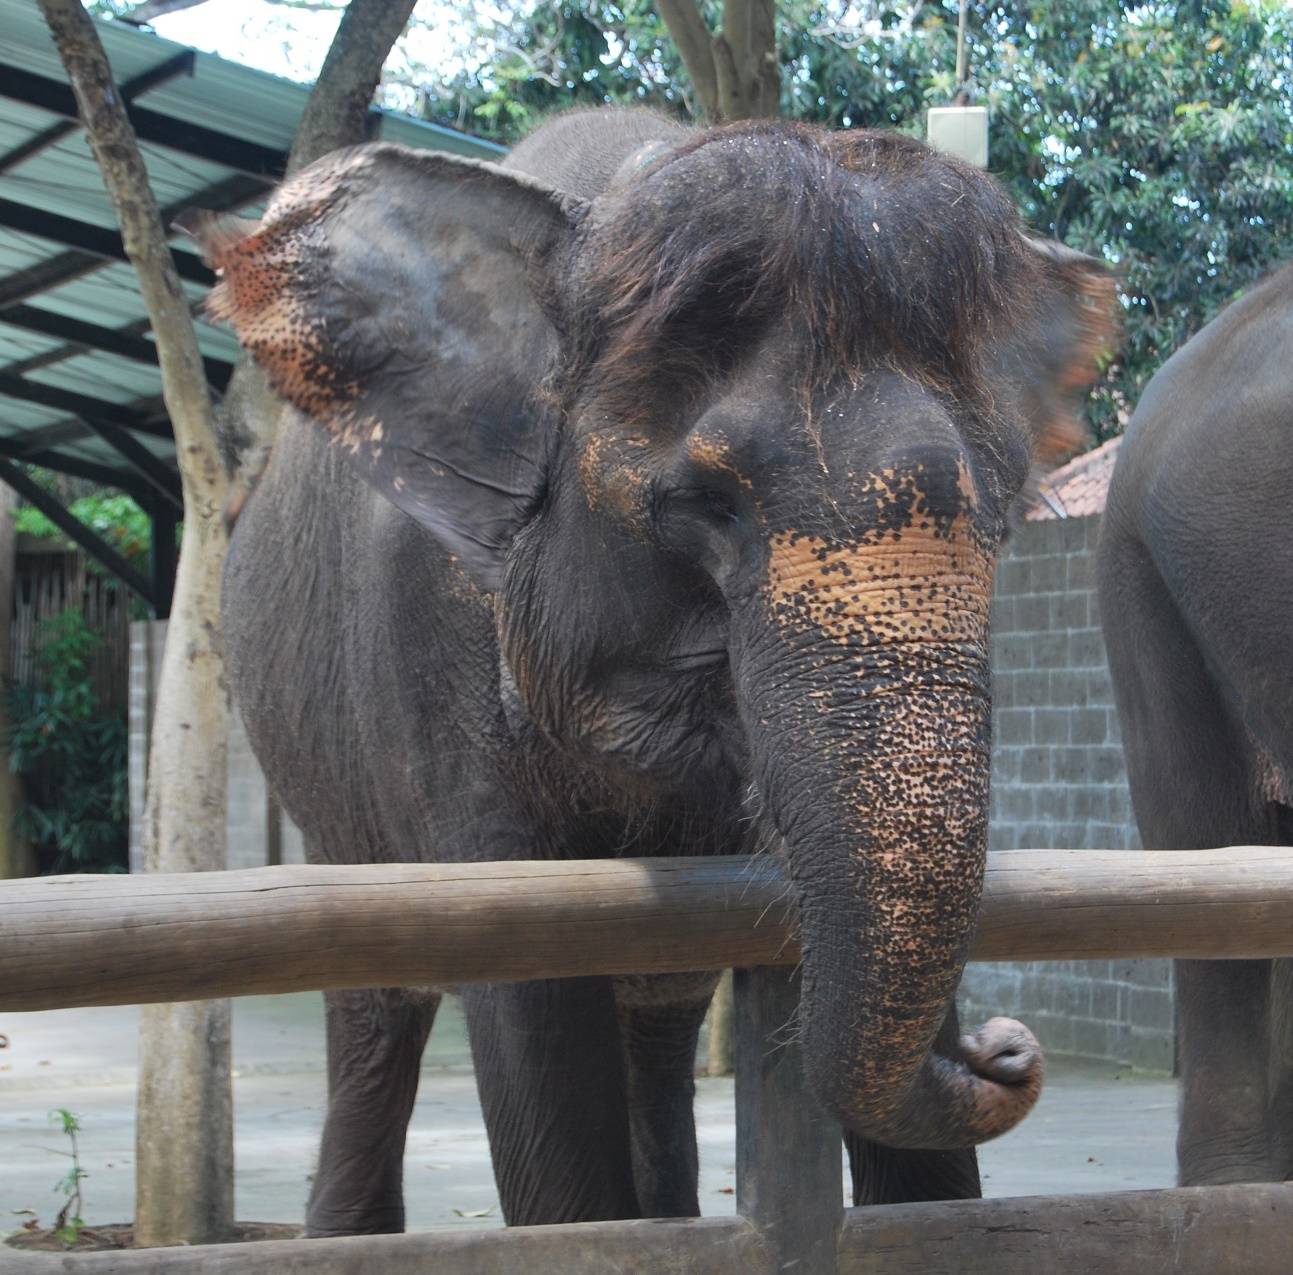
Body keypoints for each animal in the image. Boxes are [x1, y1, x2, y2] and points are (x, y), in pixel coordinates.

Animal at [201, 106, 1111, 1231]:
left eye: (1004, 513)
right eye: (700, 504)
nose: (1001, 1046)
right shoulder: (432, 661)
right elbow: (529, 1000)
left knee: (656, 1019)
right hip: (323, 788)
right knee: (377, 1012)